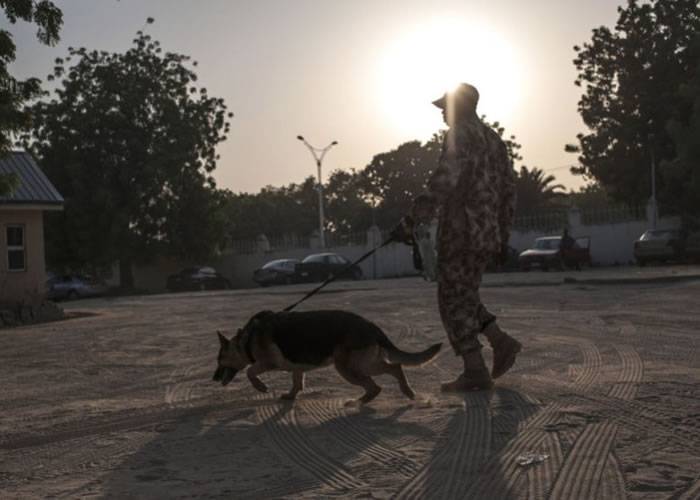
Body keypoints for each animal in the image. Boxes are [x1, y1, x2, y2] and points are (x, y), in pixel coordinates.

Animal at [213, 310, 442, 404]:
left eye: (219, 360)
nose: (213, 378)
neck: (246, 339)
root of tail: (372, 327)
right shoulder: (297, 368)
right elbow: (297, 383)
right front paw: (291, 396)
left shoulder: (268, 363)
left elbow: (251, 372)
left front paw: (261, 387)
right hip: (362, 364)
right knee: (391, 370)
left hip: (349, 368)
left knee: (382, 379)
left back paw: (364, 400)